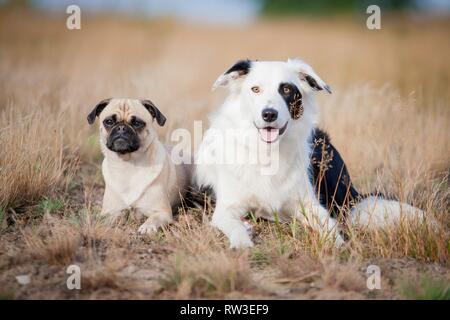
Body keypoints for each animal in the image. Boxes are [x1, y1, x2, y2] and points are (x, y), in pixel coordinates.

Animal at [194, 60, 426, 250]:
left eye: (287, 89)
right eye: (255, 89)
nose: (269, 114)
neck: (268, 152)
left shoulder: (309, 204)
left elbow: (328, 226)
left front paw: (337, 244)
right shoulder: (226, 209)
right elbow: (235, 226)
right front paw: (242, 242)